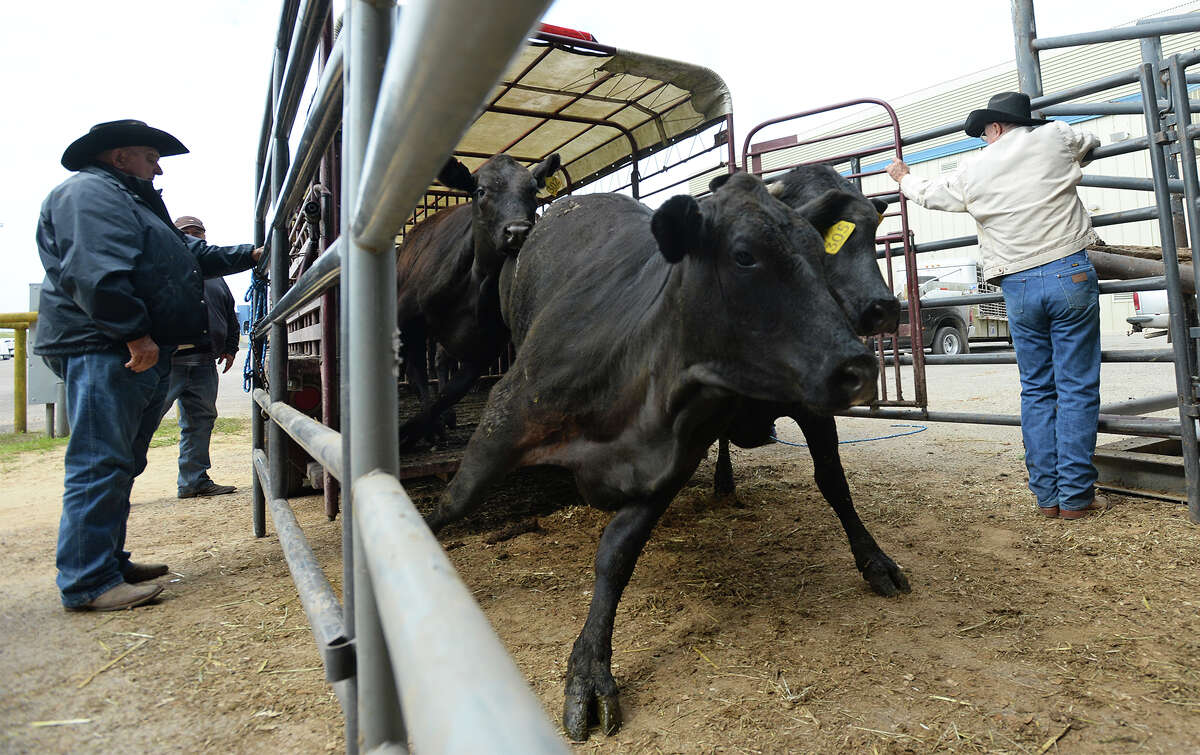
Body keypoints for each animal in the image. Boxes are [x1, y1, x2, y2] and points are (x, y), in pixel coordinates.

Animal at [393, 154, 561, 446]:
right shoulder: (406, 320)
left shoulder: (486, 349)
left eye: (532, 190)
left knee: (441, 361)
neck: (477, 284)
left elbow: (450, 393)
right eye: (480, 191)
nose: (517, 230)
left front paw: (423, 426)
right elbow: (417, 374)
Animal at [427, 172, 878, 744]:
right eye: (744, 255)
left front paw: (590, 669)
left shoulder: (669, 464)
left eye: (821, 255)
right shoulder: (506, 414)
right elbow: (455, 499)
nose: (858, 365)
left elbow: (616, 555)